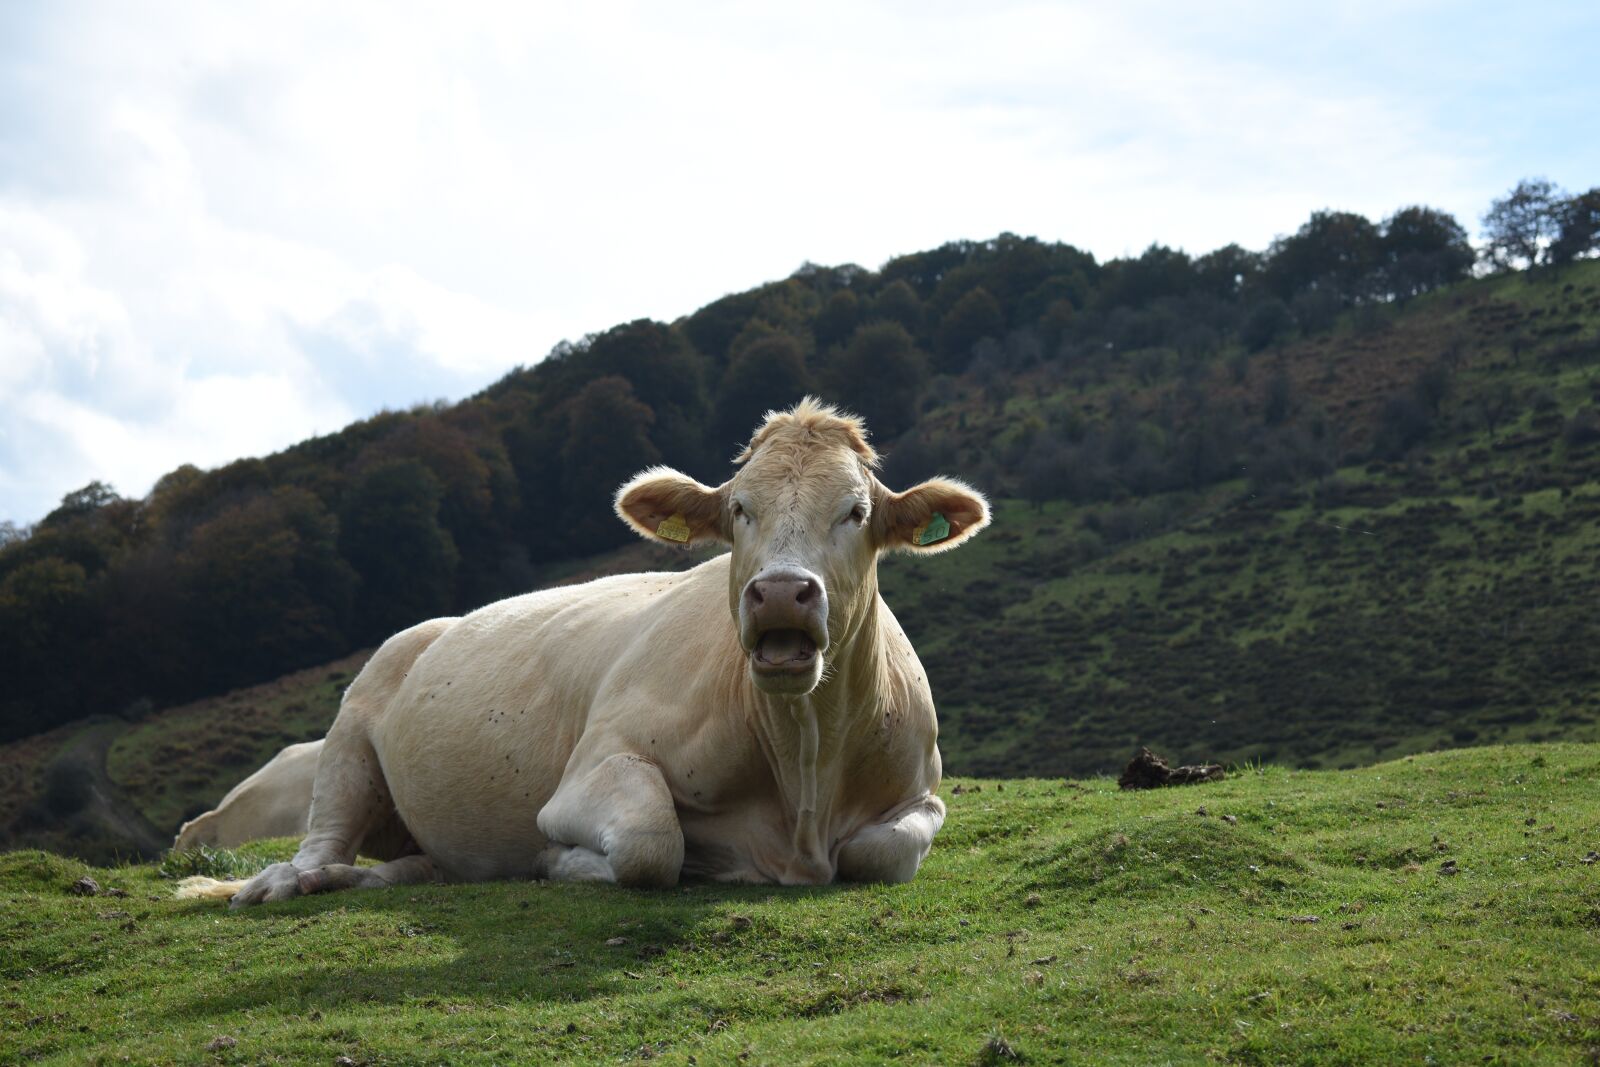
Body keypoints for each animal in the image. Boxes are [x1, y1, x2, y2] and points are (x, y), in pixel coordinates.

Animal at [179, 399, 988, 905]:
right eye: (738, 509)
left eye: (855, 511)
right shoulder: (588, 772)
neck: (803, 778)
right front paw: (561, 863)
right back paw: (283, 882)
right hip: (348, 733)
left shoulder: (922, 790)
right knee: (320, 841)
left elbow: (877, 853)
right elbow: (650, 843)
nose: (782, 593)